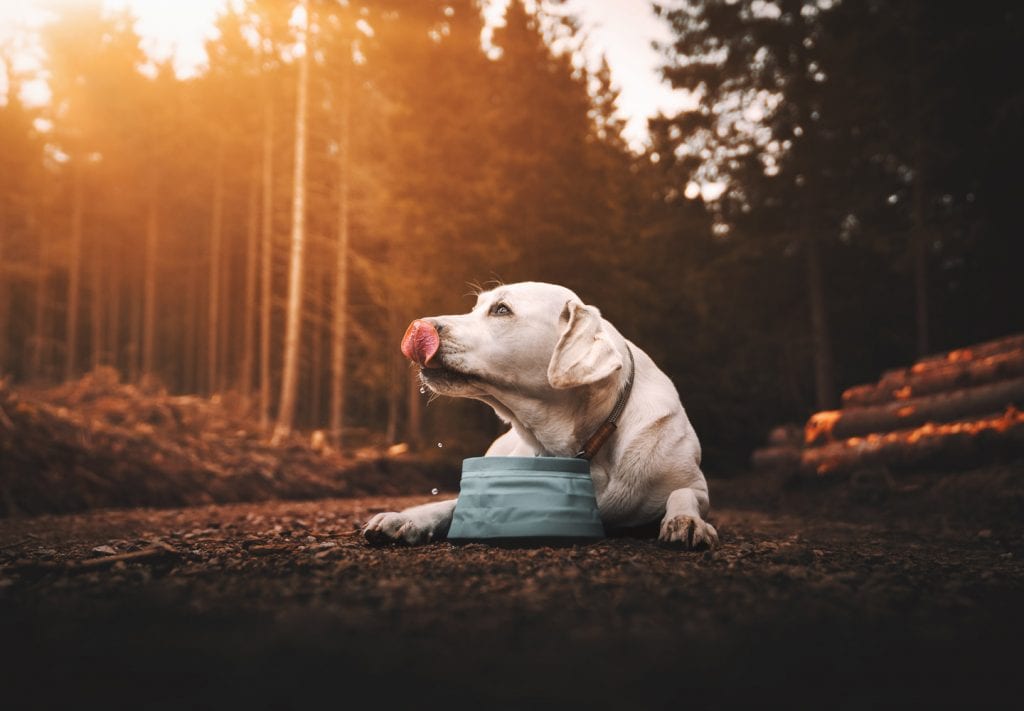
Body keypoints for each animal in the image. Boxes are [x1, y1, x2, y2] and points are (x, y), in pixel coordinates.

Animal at [364, 282, 716, 553]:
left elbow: (684, 494)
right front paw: (409, 518)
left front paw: (687, 522)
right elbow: (453, 505)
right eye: (476, 307)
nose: (417, 326)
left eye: (501, 310)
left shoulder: (694, 483)